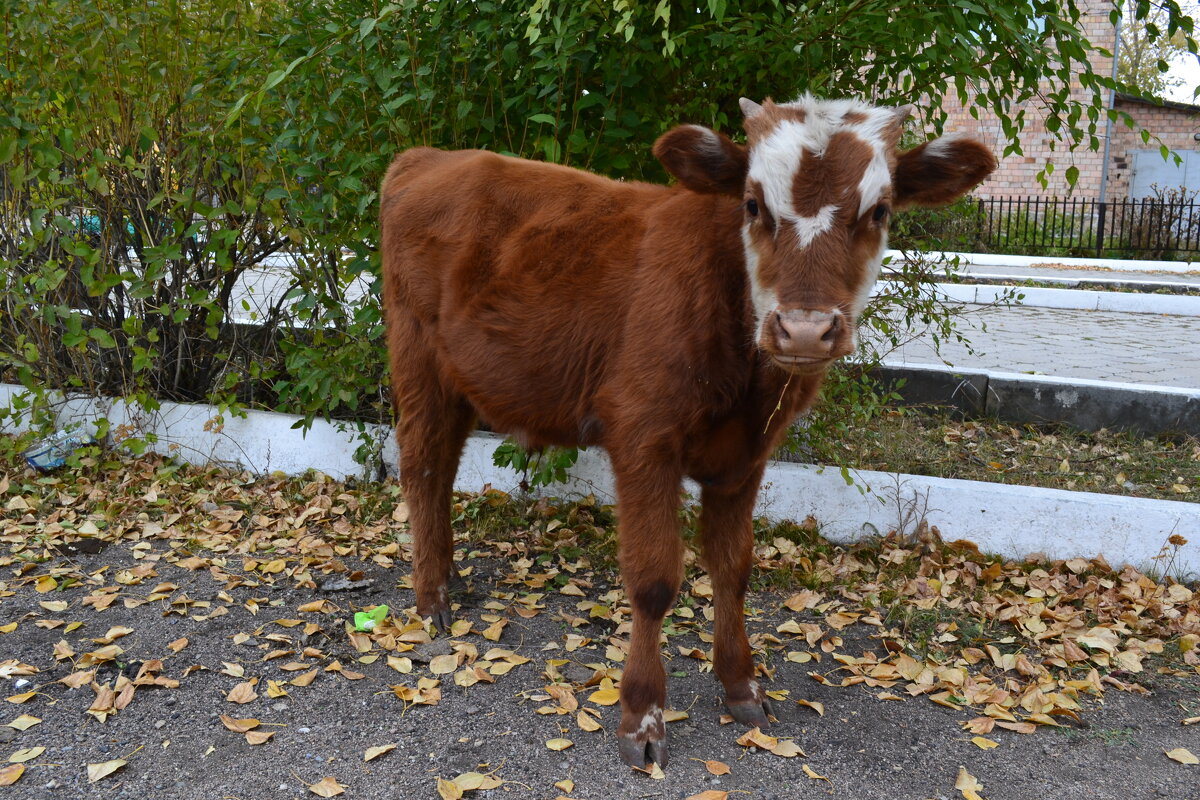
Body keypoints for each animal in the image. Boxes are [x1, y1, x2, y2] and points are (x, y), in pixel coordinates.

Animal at [381, 97, 993, 767]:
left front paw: (742, 684)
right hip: (418, 356)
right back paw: (431, 599)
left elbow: (733, 568)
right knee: (423, 464)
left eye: (879, 211)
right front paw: (643, 716)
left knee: (443, 468)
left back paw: (447, 576)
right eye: (752, 204)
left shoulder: (748, 455)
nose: (805, 329)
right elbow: (654, 581)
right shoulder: (642, 436)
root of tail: (430, 157)